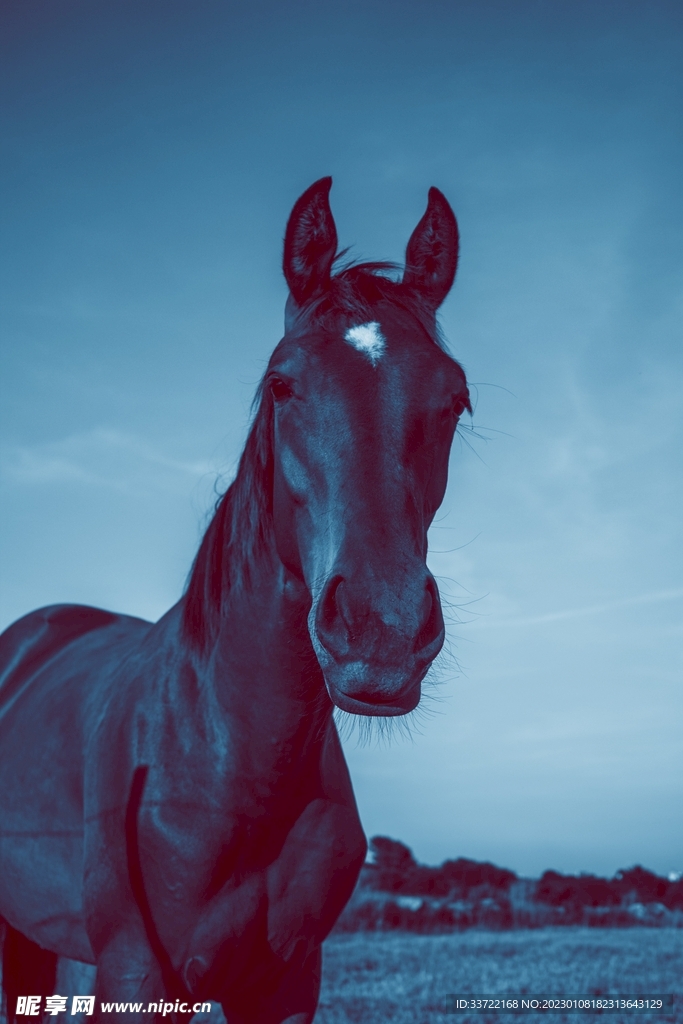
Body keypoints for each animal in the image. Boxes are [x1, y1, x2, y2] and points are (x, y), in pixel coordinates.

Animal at [0, 177, 470, 1024]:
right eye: (282, 383)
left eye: (454, 399)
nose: (380, 633)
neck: (224, 763)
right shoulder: (136, 974)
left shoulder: (286, 981)